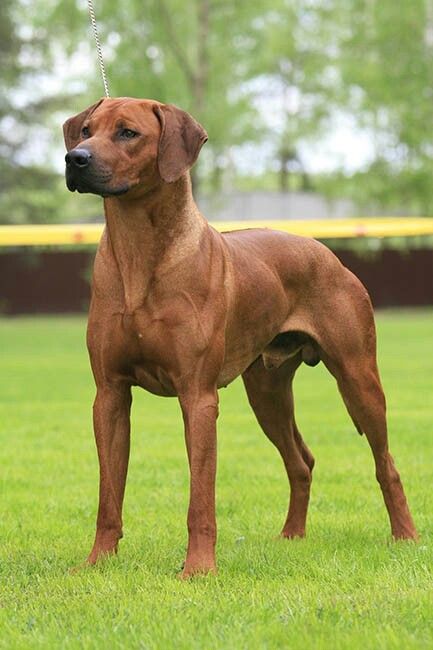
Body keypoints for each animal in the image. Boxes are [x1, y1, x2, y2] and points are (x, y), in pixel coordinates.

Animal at [62, 97, 416, 576]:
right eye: (85, 130)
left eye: (127, 133)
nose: (75, 159)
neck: (140, 251)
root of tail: (326, 252)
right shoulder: (110, 394)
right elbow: (108, 495)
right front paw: (98, 562)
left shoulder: (198, 397)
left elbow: (200, 498)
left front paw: (198, 569)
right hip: (267, 391)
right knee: (301, 461)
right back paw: (292, 536)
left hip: (358, 379)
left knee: (385, 463)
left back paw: (405, 535)